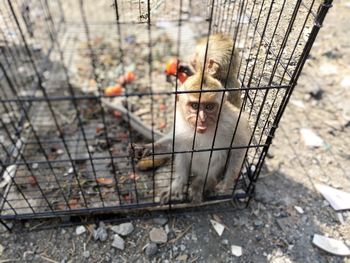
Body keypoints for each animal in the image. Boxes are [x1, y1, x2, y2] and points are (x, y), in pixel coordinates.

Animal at [133, 70, 250, 204]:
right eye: (195, 106)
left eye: (209, 107)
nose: (202, 119)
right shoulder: (179, 121)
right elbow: (174, 143)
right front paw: (148, 148)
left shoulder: (231, 121)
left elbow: (241, 145)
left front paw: (227, 182)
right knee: (183, 150)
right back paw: (179, 182)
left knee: (216, 162)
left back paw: (202, 182)